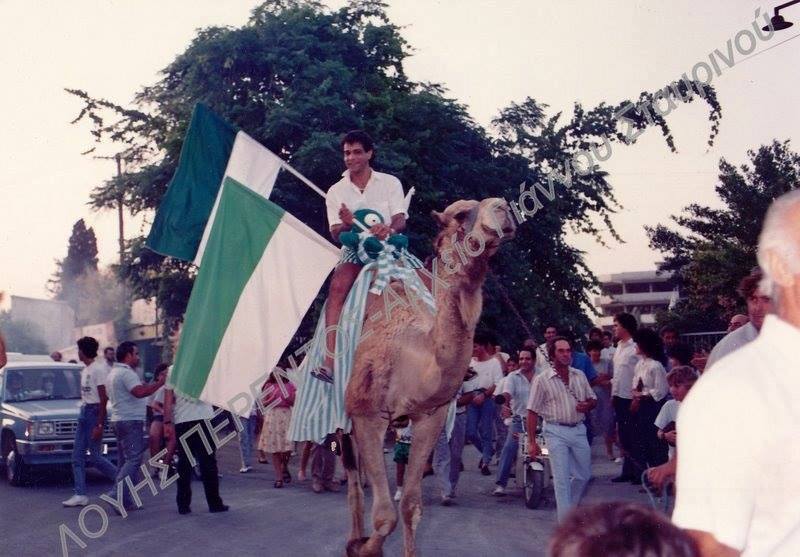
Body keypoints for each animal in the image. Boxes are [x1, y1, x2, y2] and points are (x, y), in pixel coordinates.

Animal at [344, 198, 520, 552]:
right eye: (460, 214)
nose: (503, 208)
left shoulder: (430, 416)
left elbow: (411, 507)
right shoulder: (367, 412)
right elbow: (384, 516)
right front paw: (364, 548)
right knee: (353, 484)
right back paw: (354, 537)